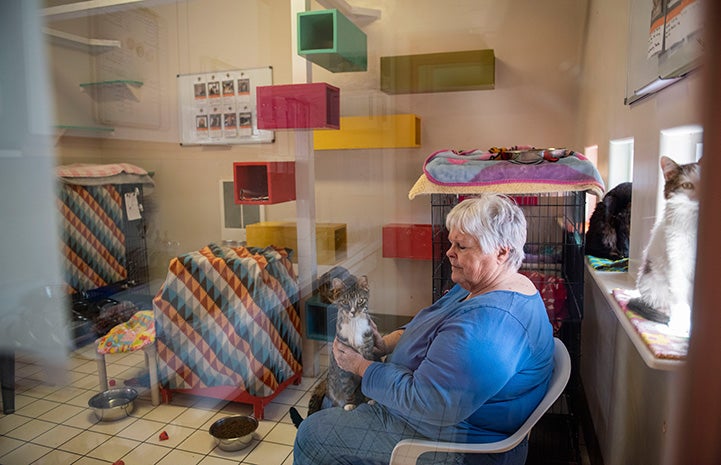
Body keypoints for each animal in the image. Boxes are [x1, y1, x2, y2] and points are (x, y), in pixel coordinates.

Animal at [288, 266, 376, 426]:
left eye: (360, 300)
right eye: (345, 301)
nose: (353, 312)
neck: (354, 326)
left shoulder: (368, 351)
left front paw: (370, 399)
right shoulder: (342, 359)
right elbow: (347, 385)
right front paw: (349, 404)